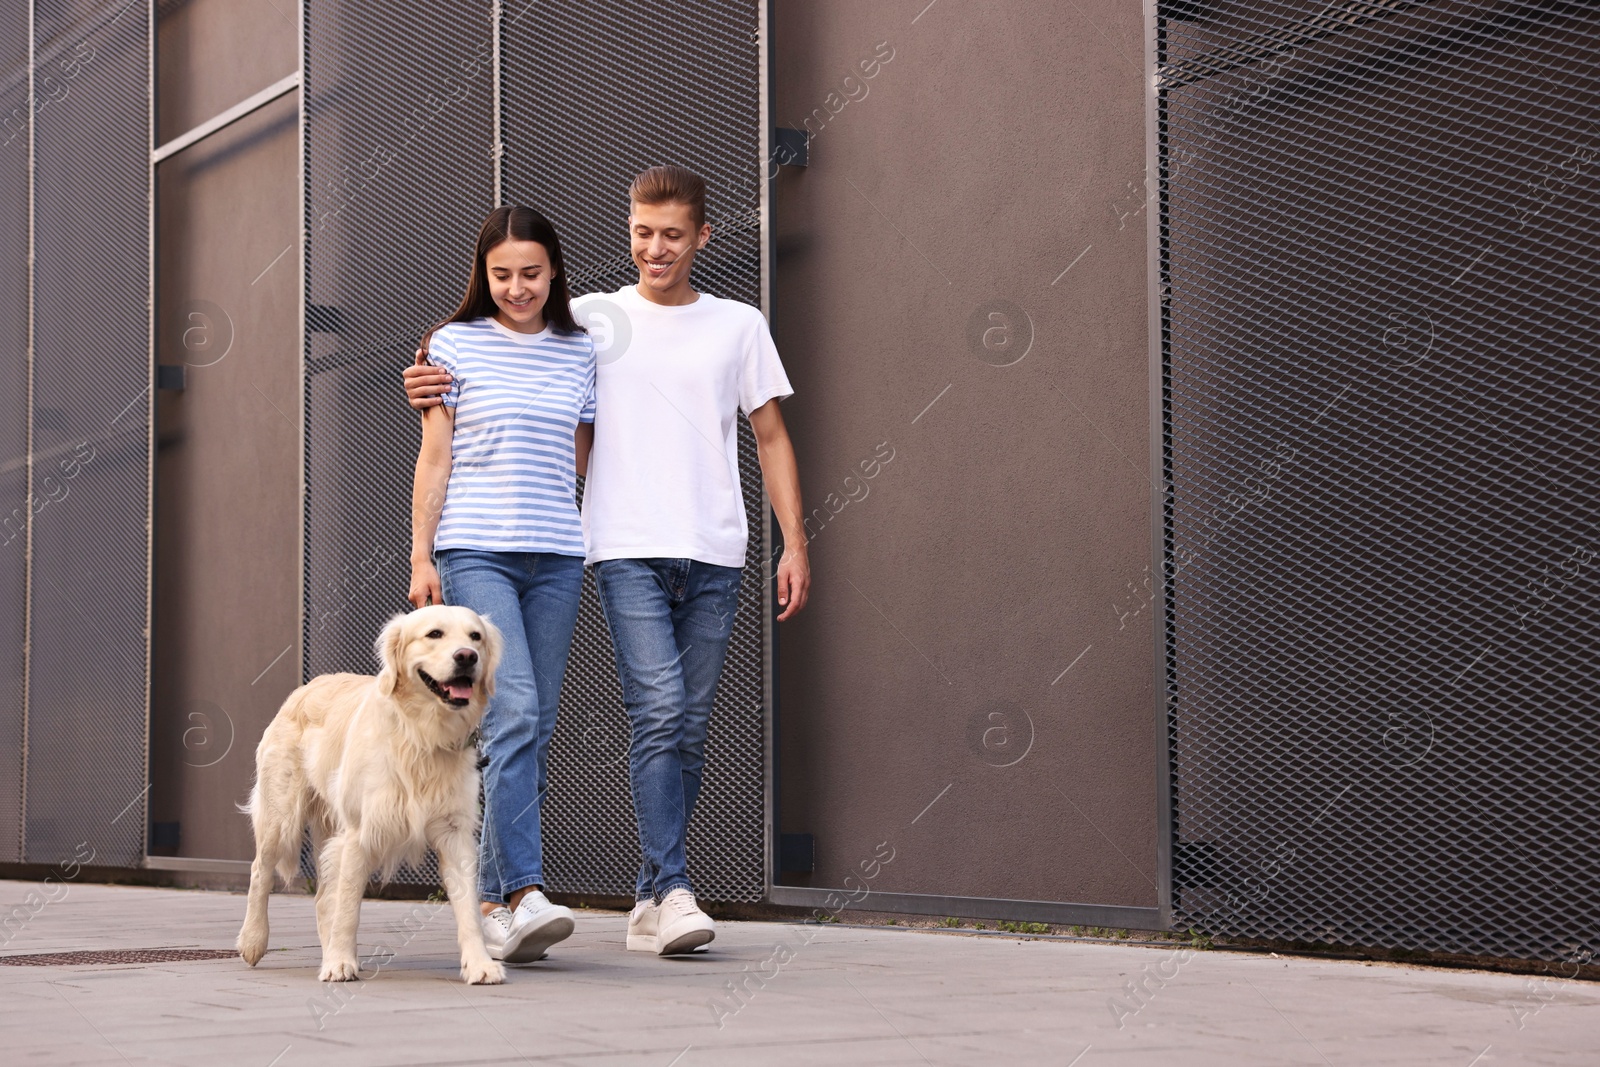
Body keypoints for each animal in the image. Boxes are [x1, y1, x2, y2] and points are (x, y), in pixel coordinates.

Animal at [232, 607, 502, 985]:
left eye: (475, 636)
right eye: (434, 634)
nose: (467, 657)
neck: (421, 735)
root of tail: (307, 685)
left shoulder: (455, 833)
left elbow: (468, 908)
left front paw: (479, 964)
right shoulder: (358, 832)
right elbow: (348, 908)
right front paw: (339, 962)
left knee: (321, 898)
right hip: (281, 815)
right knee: (260, 871)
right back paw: (254, 940)